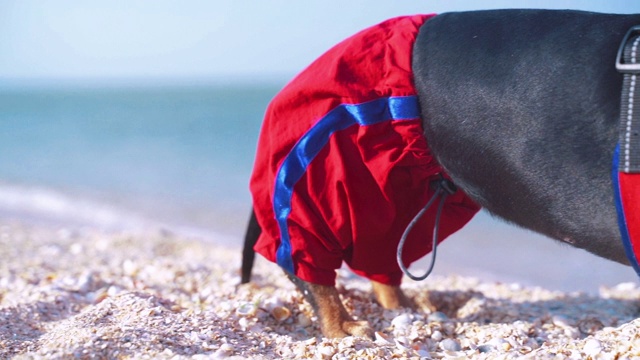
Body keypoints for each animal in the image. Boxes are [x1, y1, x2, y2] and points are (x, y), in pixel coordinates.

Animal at [241, 9, 640, 338]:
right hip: (325, 179)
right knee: (309, 265)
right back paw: (341, 324)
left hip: (393, 200)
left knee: (379, 263)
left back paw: (403, 309)